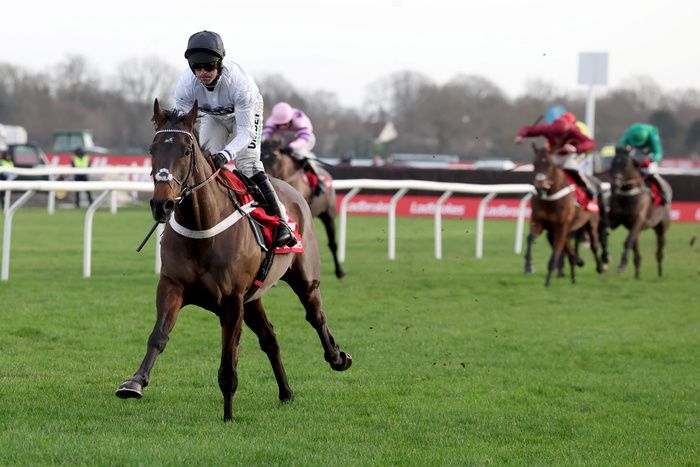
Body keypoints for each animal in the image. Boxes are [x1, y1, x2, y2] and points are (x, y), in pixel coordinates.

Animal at [260, 138, 344, 278]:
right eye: (260, 154)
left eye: (275, 156)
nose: (266, 174)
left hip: (328, 215)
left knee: (332, 243)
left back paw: (340, 271)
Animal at [524, 146, 604, 288]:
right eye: (534, 164)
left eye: (549, 165)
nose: (539, 188)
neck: (550, 198)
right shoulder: (539, 222)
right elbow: (530, 239)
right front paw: (528, 265)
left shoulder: (561, 227)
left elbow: (555, 253)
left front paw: (547, 282)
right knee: (570, 252)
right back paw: (574, 275)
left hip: (591, 223)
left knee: (594, 246)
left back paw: (599, 267)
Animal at [608, 147, 672, 278]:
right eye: (612, 163)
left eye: (625, 165)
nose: (614, 185)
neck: (628, 193)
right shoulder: (614, 220)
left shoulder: (638, 219)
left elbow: (627, 241)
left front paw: (622, 265)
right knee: (636, 251)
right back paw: (637, 274)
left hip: (661, 228)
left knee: (659, 249)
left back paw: (659, 273)